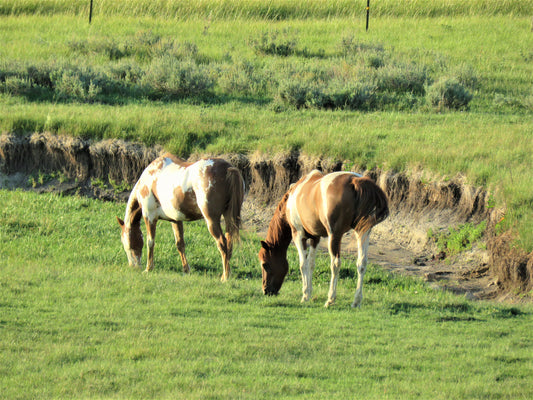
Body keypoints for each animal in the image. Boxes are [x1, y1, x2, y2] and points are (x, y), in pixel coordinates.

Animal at [116, 153, 245, 282]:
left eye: (125, 241)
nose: (133, 266)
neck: (149, 178)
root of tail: (227, 168)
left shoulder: (149, 216)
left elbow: (150, 242)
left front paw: (148, 268)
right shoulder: (175, 220)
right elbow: (180, 244)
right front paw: (186, 270)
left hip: (211, 220)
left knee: (222, 243)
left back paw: (226, 276)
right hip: (228, 217)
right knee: (229, 243)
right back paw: (226, 274)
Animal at [258, 170, 386, 308]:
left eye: (265, 264)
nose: (266, 291)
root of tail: (354, 180)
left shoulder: (298, 235)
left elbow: (303, 264)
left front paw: (305, 295)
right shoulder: (315, 237)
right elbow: (311, 263)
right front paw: (309, 292)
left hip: (334, 236)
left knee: (335, 264)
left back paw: (330, 299)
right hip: (363, 232)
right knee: (362, 263)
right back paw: (356, 301)